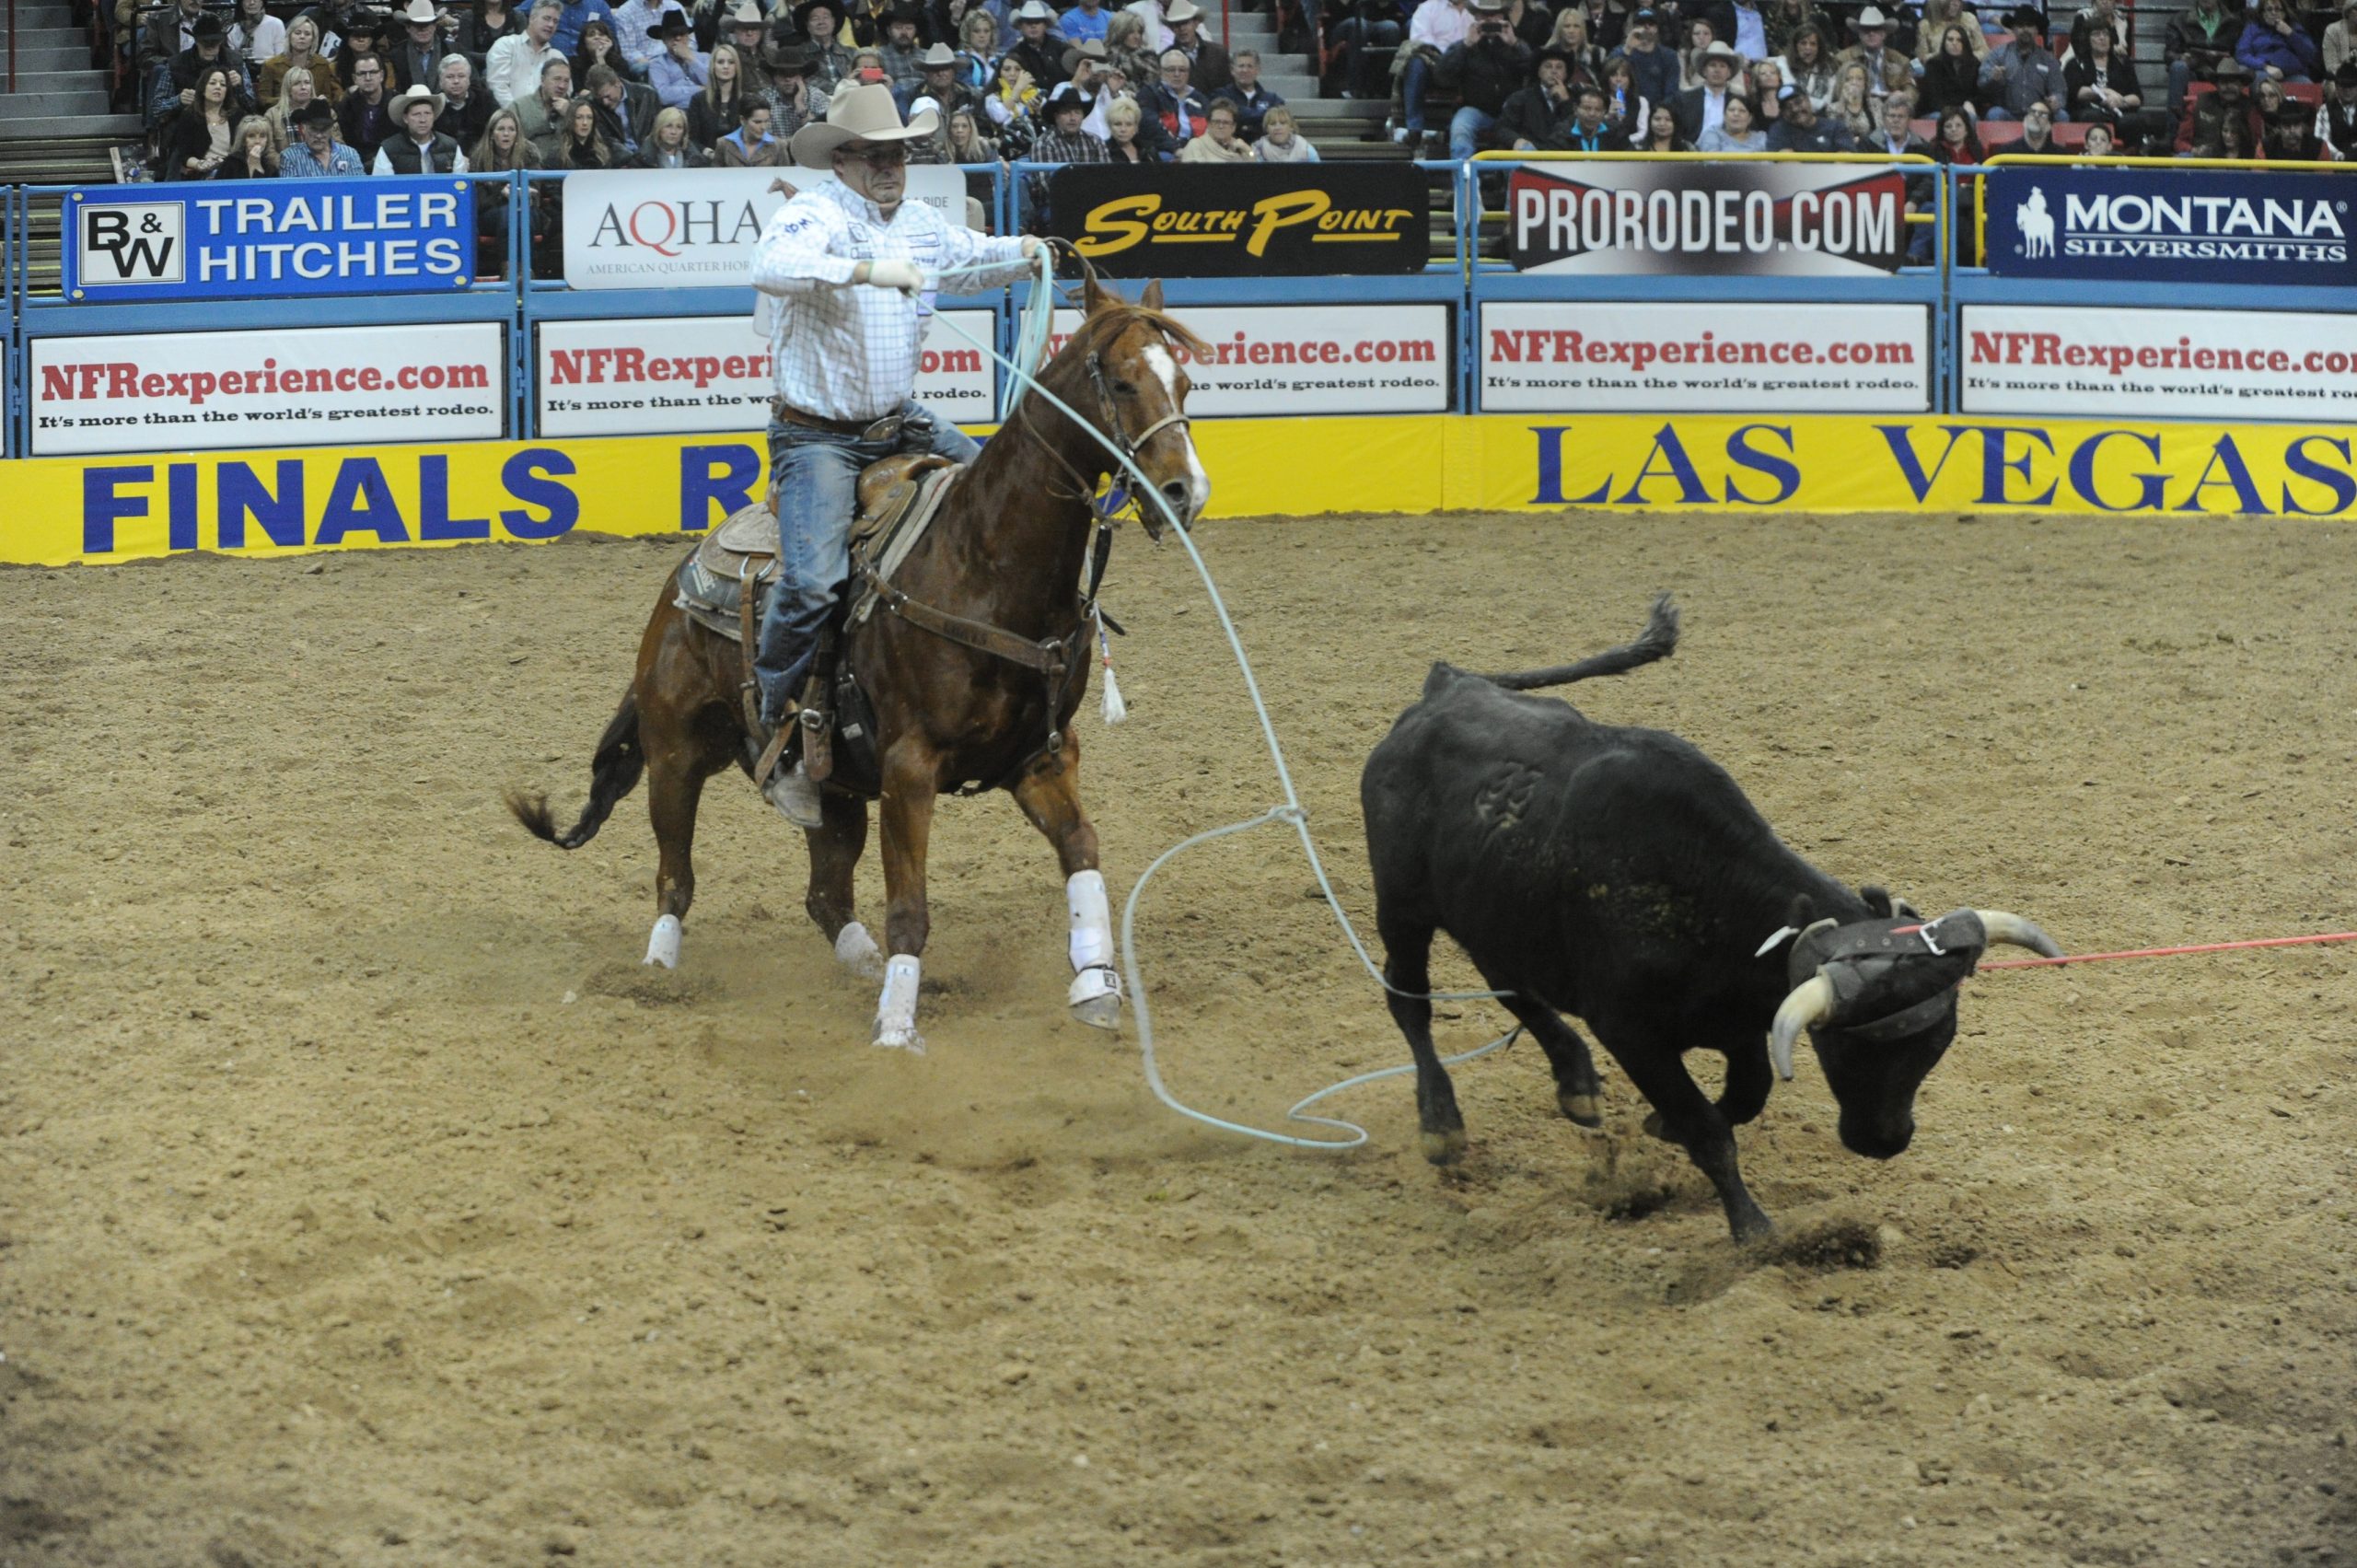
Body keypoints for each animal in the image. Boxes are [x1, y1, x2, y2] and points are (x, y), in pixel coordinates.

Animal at [506, 273, 1206, 1047]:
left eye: (1186, 383)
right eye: (1123, 381)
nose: (1185, 491)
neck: (984, 566)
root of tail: (677, 582)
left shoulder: (1043, 755)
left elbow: (1082, 849)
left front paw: (1096, 987)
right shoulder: (909, 768)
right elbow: (910, 907)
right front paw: (896, 1031)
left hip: (836, 791)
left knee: (825, 895)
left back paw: (866, 966)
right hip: (676, 753)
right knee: (674, 878)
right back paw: (657, 974)